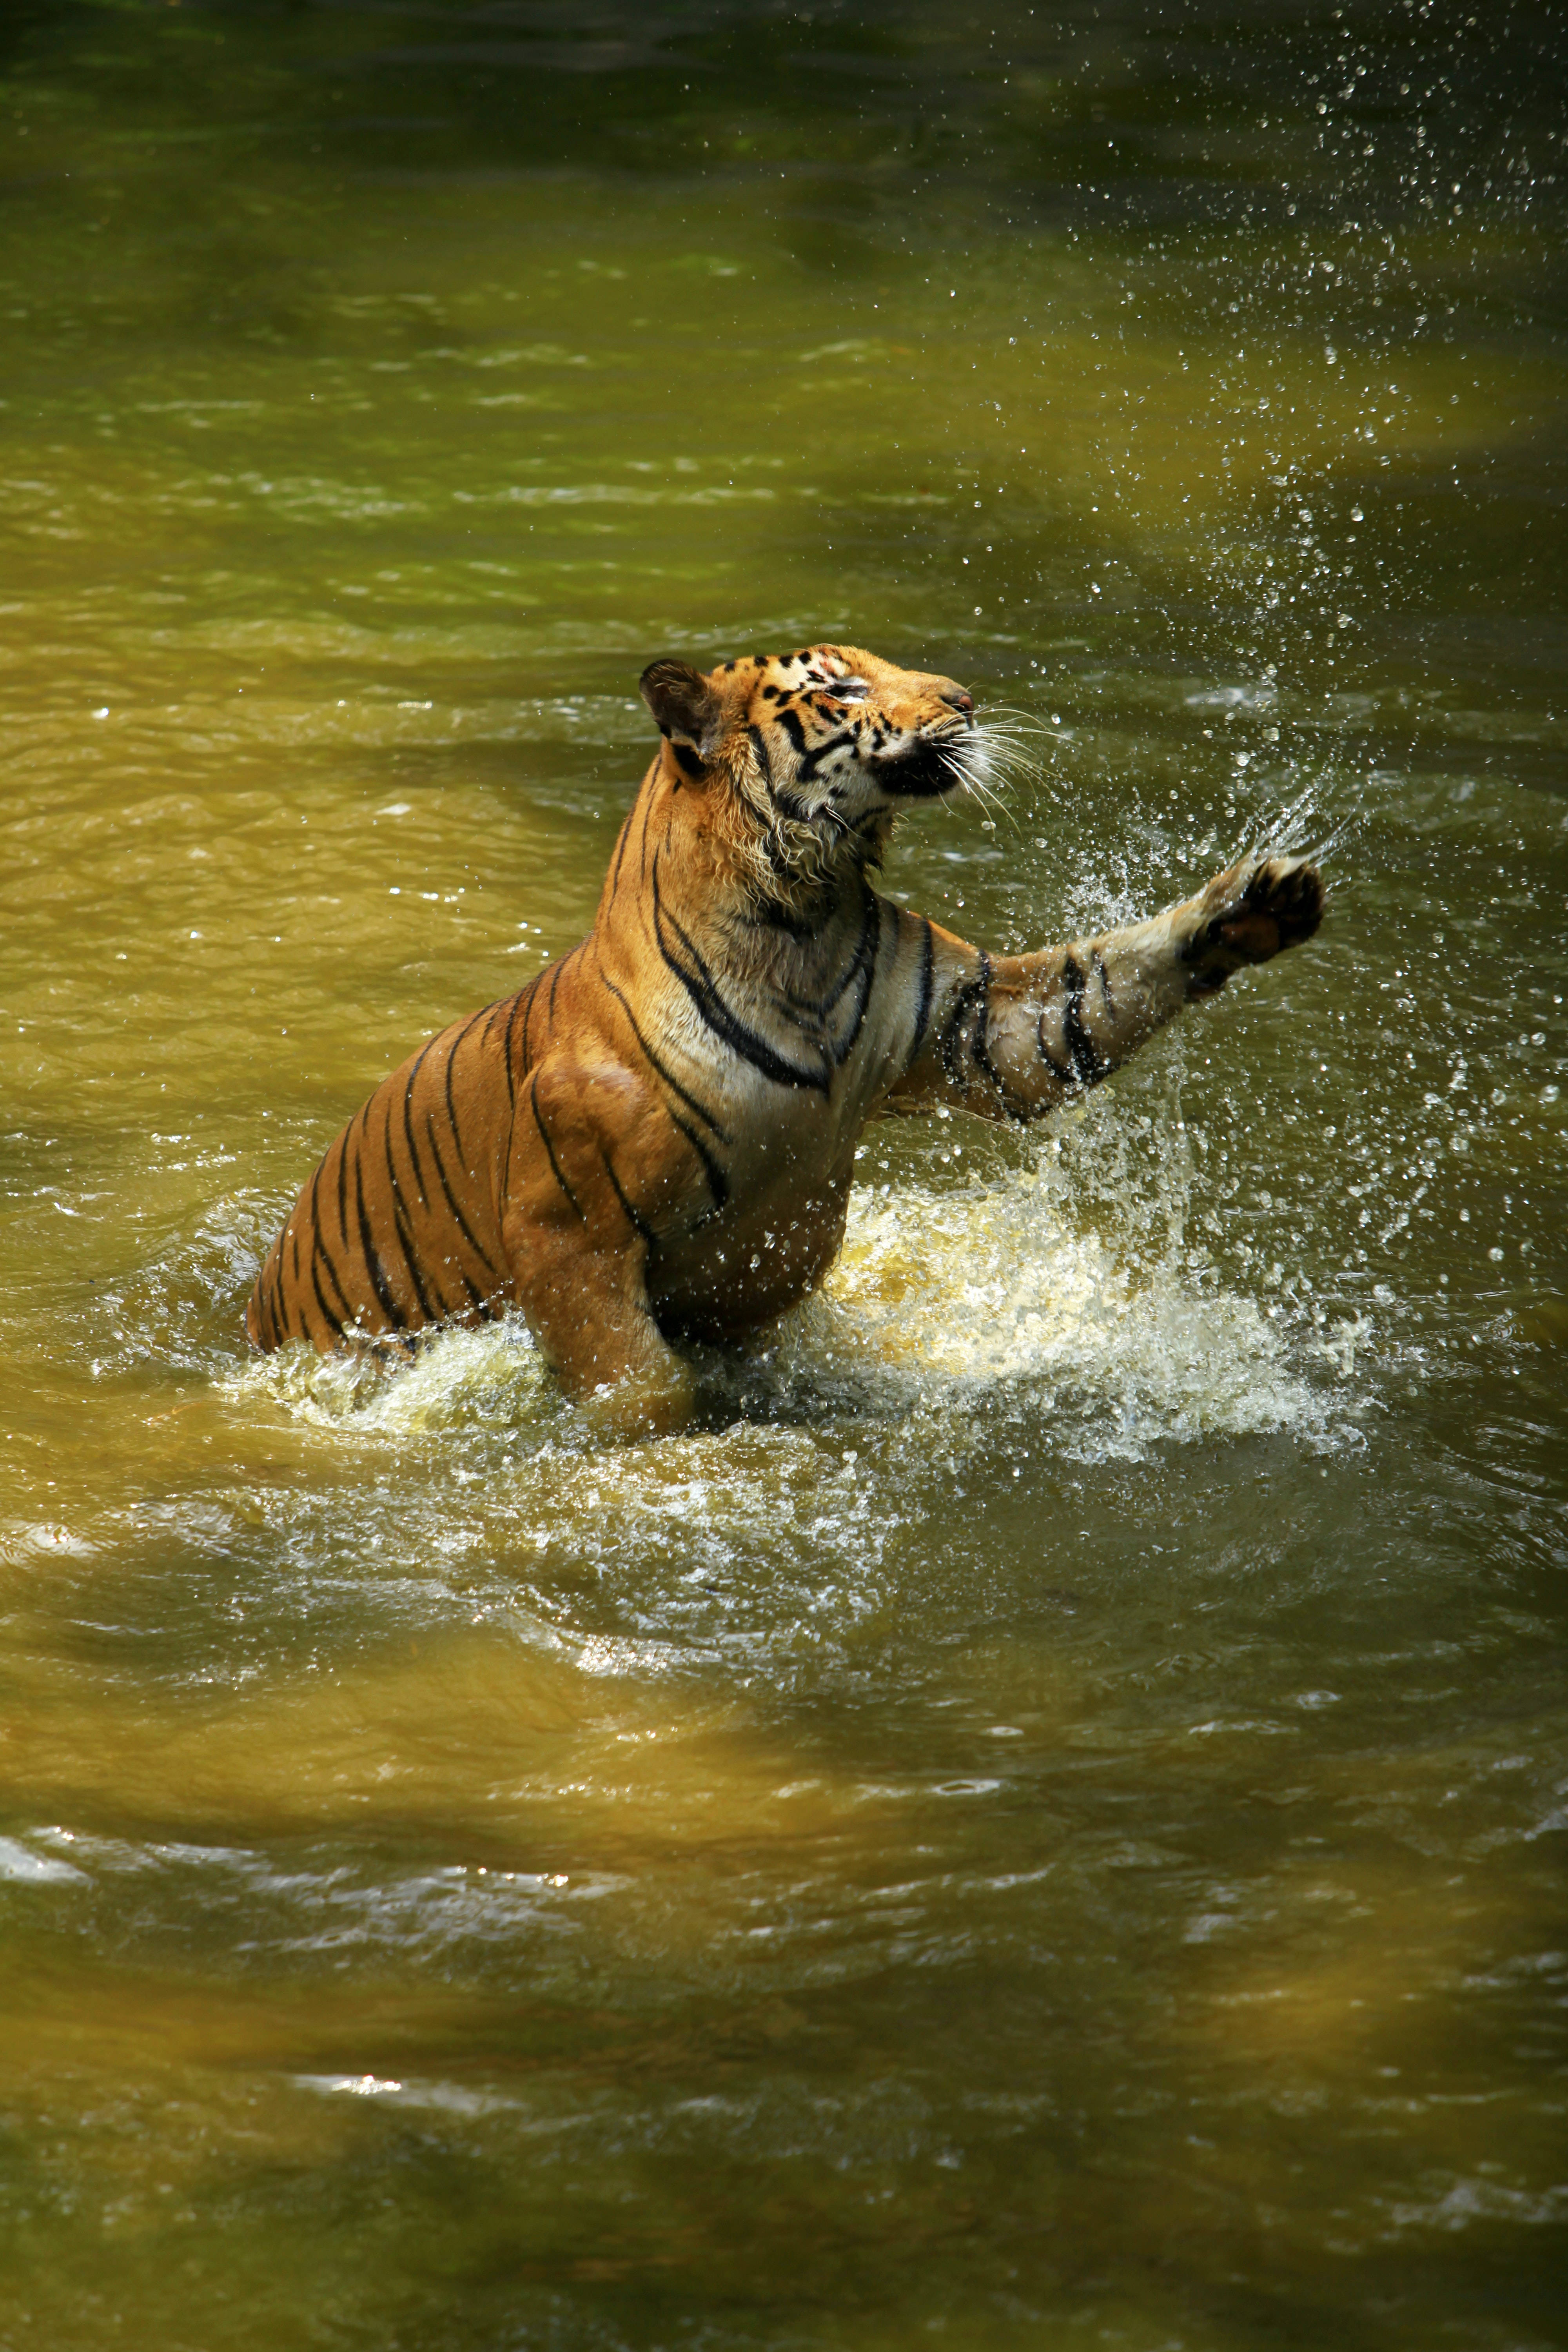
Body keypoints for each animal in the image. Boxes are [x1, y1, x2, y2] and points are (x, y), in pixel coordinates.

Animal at [245, 643, 1324, 1431]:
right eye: (845, 686)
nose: (967, 698)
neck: (801, 921)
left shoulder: (974, 1024)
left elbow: (1088, 991)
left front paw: (1257, 903)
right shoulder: (568, 1238)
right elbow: (638, 1389)